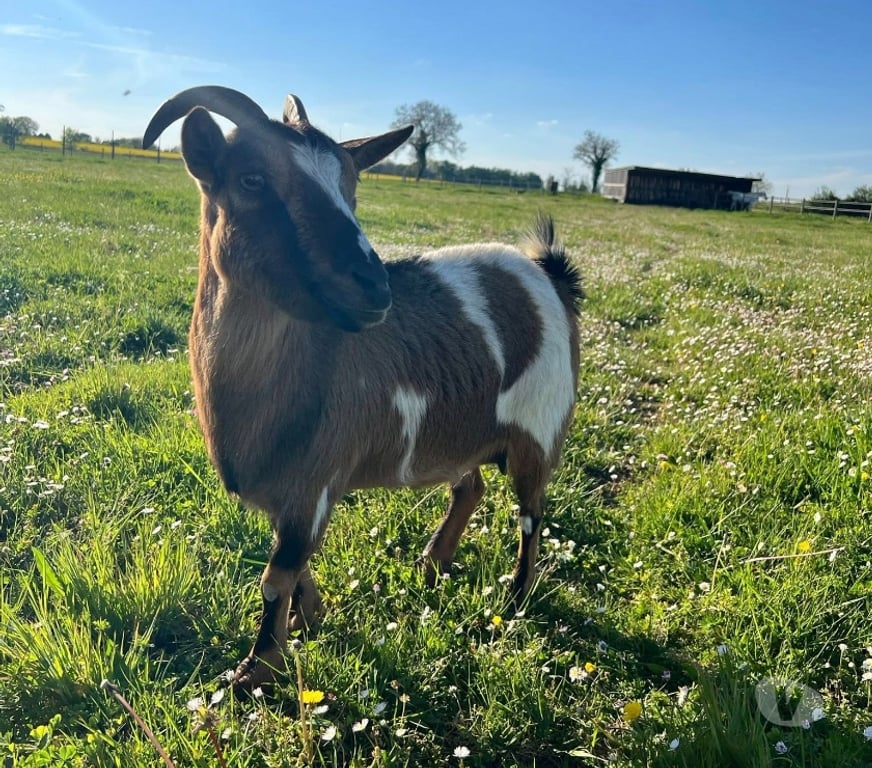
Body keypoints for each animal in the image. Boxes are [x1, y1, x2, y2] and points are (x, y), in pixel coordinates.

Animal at [143, 86, 582, 689]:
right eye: (252, 179)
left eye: (351, 188)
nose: (374, 287)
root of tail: (548, 272)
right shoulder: (289, 490)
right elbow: (295, 566)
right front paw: (308, 622)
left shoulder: (315, 477)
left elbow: (276, 576)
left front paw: (255, 673)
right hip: (464, 432)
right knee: (469, 487)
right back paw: (431, 564)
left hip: (539, 429)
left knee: (531, 514)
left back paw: (513, 600)